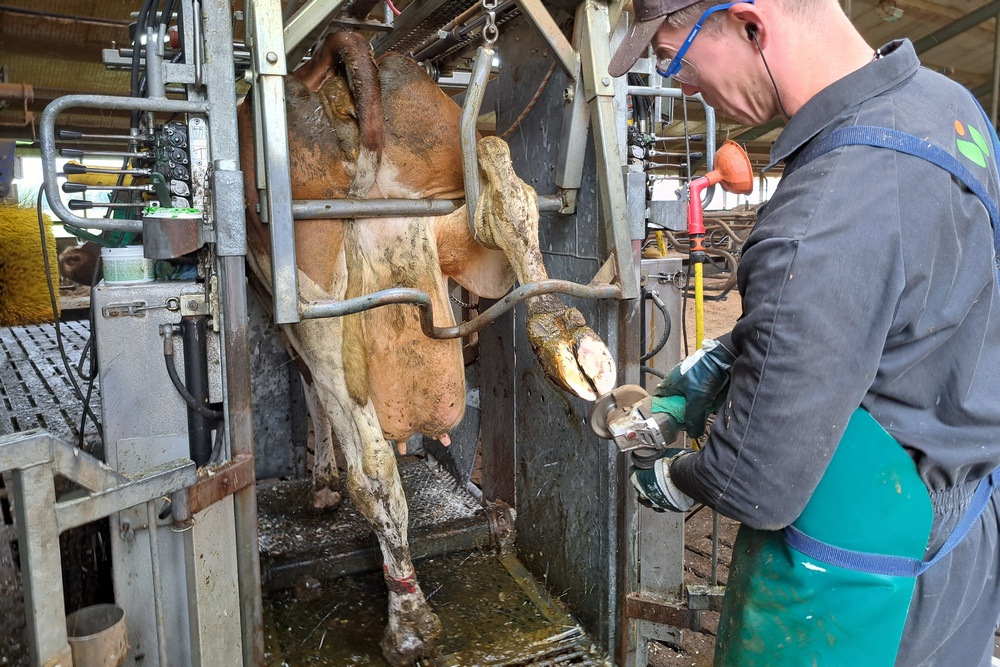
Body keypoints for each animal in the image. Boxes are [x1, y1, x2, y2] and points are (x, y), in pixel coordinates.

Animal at [240, 31, 615, 665]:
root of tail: (343, 69)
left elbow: (313, 399)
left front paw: (321, 485)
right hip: (442, 208)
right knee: (501, 190)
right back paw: (564, 335)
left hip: (312, 289)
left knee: (373, 468)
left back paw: (409, 618)